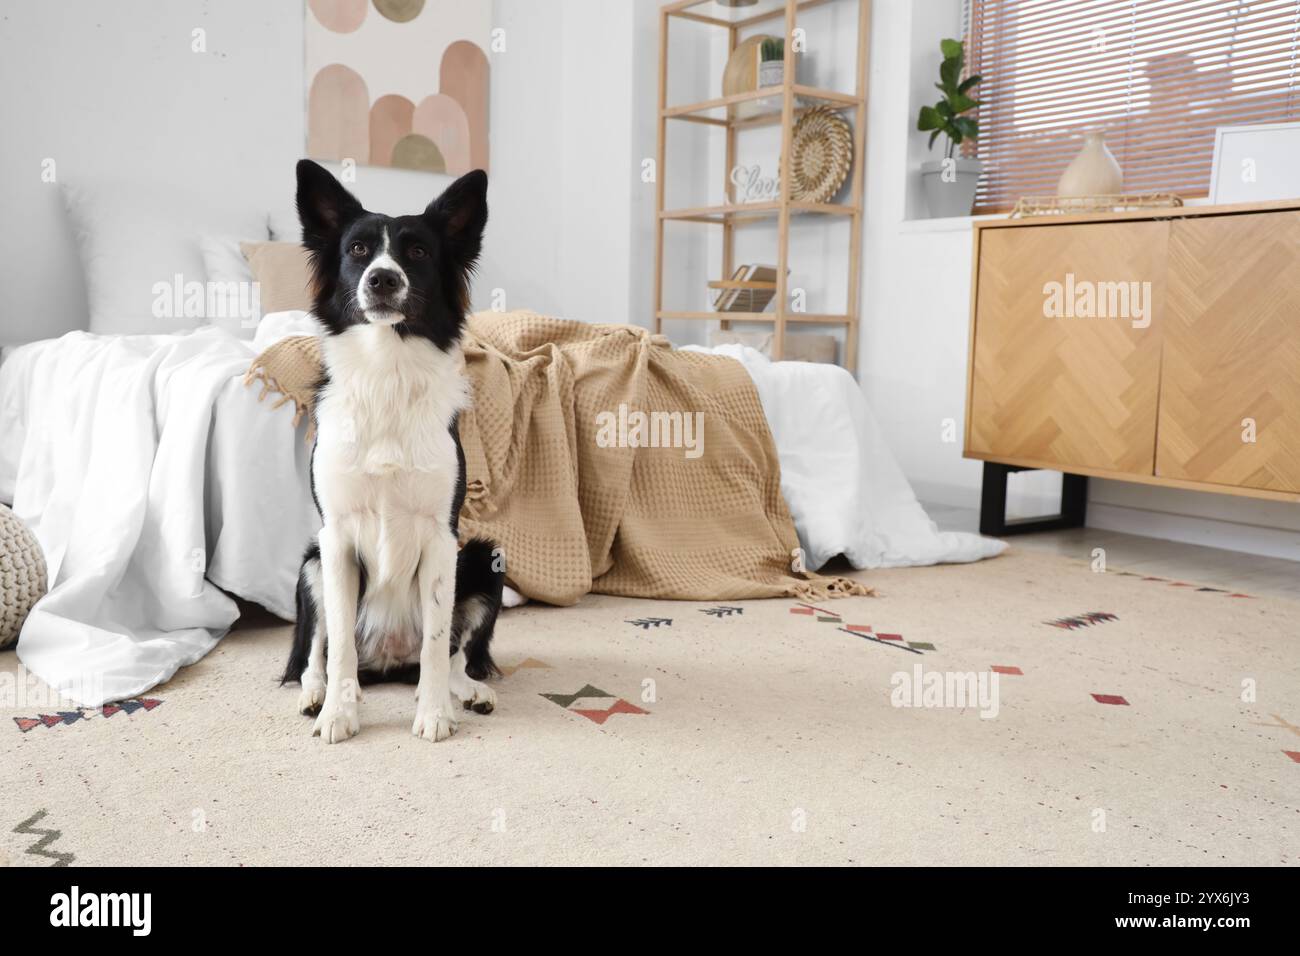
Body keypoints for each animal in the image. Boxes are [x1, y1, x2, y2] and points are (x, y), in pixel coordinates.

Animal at [283, 157, 501, 743]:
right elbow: (336, 643)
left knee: (452, 653)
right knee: (317, 652)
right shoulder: (334, 538)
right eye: (358, 249)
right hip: (310, 563)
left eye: (419, 252)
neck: (387, 371)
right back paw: (319, 694)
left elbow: (438, 642)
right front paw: (338, 714)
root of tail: (386, 663)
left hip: (484, 558)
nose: (383, 278)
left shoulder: (444, 537)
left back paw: (464, 692)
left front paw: (434, 714)